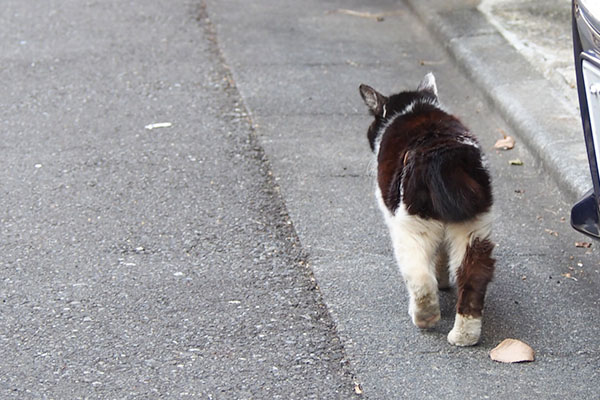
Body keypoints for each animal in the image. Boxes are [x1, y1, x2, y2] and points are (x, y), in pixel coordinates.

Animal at [358, 72, 494, 346]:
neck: (414, 109)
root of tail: (444, 157)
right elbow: (442, 257)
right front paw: (444, 281)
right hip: (474, 228)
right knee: (473, 276)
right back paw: (464, 336)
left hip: (410, 227)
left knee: (420, 277)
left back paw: (425, 316)